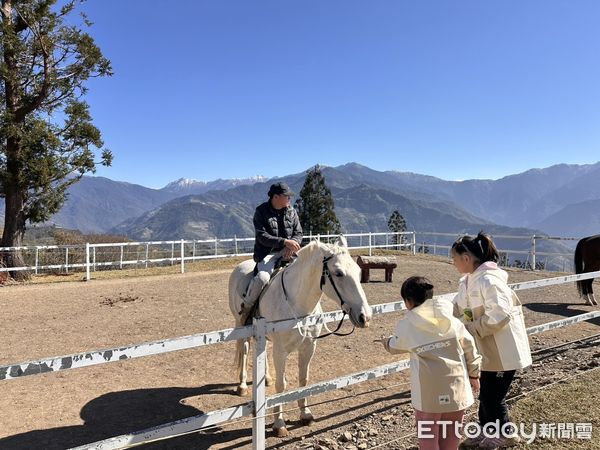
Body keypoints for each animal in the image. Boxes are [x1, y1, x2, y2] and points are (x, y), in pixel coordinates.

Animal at [229, 236, 370, 436]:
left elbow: (304, 380)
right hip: (242, 325)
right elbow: (281, 385)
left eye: (358, 271)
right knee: (245, 349)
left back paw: (267, 378)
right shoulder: (281, 351)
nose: (365, 316)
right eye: (338, 273)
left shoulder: (308, 347)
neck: (298, 305)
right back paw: (241, 386)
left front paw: (306, 414)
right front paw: (279, 423)